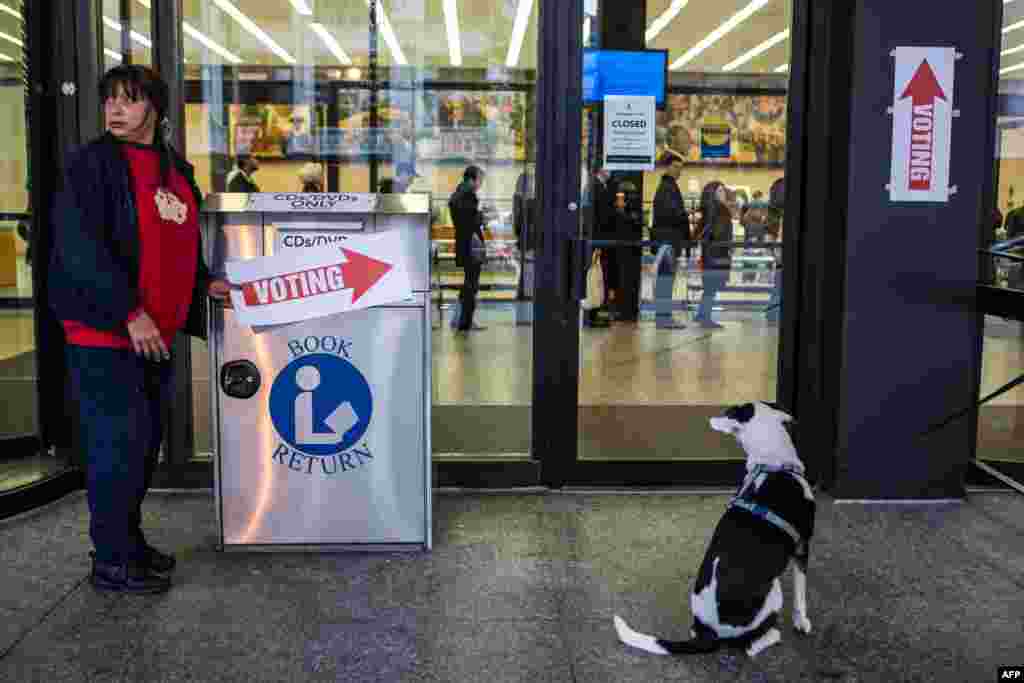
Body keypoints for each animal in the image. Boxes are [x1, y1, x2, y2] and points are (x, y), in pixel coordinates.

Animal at [614, 403, 815, 659]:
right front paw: (802, 621)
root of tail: (710, 634)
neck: (773, 463)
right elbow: (801, 593)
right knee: (751, 646)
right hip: (774, 592)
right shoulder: (803, 546)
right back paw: (773, 636)